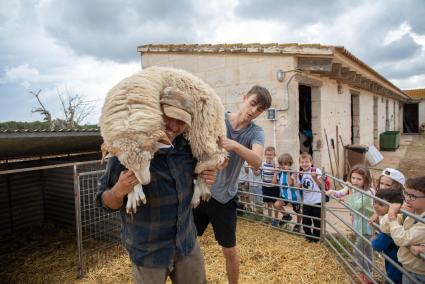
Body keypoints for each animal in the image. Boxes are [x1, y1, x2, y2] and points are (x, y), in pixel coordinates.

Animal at [99, 66, 227, 213]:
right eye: (126, 164)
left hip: (203, 129)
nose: (145, 182)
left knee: (217, 157)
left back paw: (198, 185)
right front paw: (133, 193)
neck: (128, 119)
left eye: (150, 159)